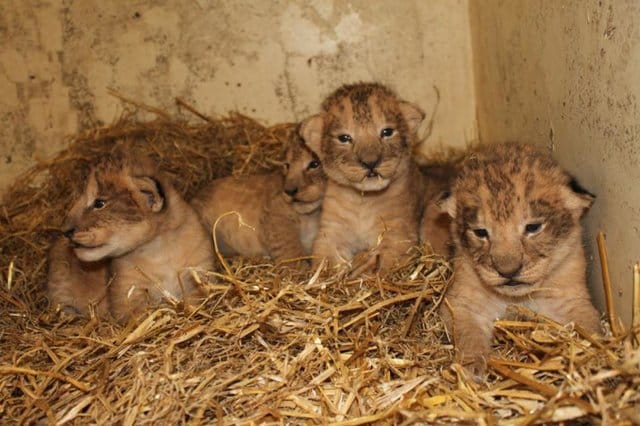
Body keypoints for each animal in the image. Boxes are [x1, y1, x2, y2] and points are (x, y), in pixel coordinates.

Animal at [440, 142, 601, 378]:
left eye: (533, 227)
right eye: (480, 232)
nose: (508, 272)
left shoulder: (571, 299)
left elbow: (589, 325)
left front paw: (592, 355)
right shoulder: (460, 303)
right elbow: (468, 333)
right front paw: (471, 369)